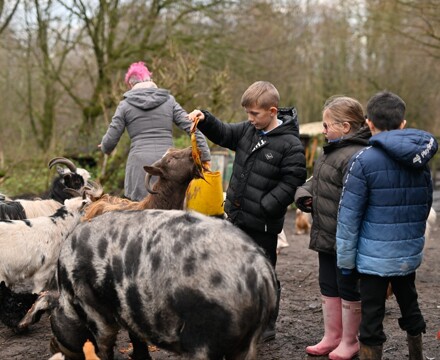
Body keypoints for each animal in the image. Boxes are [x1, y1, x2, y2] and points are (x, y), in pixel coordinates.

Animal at [25, 210, 276, 358]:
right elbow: (137, 339)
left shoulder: (95, 311)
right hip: (247, 342)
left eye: (51, 319)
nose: (51, 347)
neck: (67, 297)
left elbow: (104, 344)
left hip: (205, 335)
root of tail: (261, 271)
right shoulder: (131, 312)